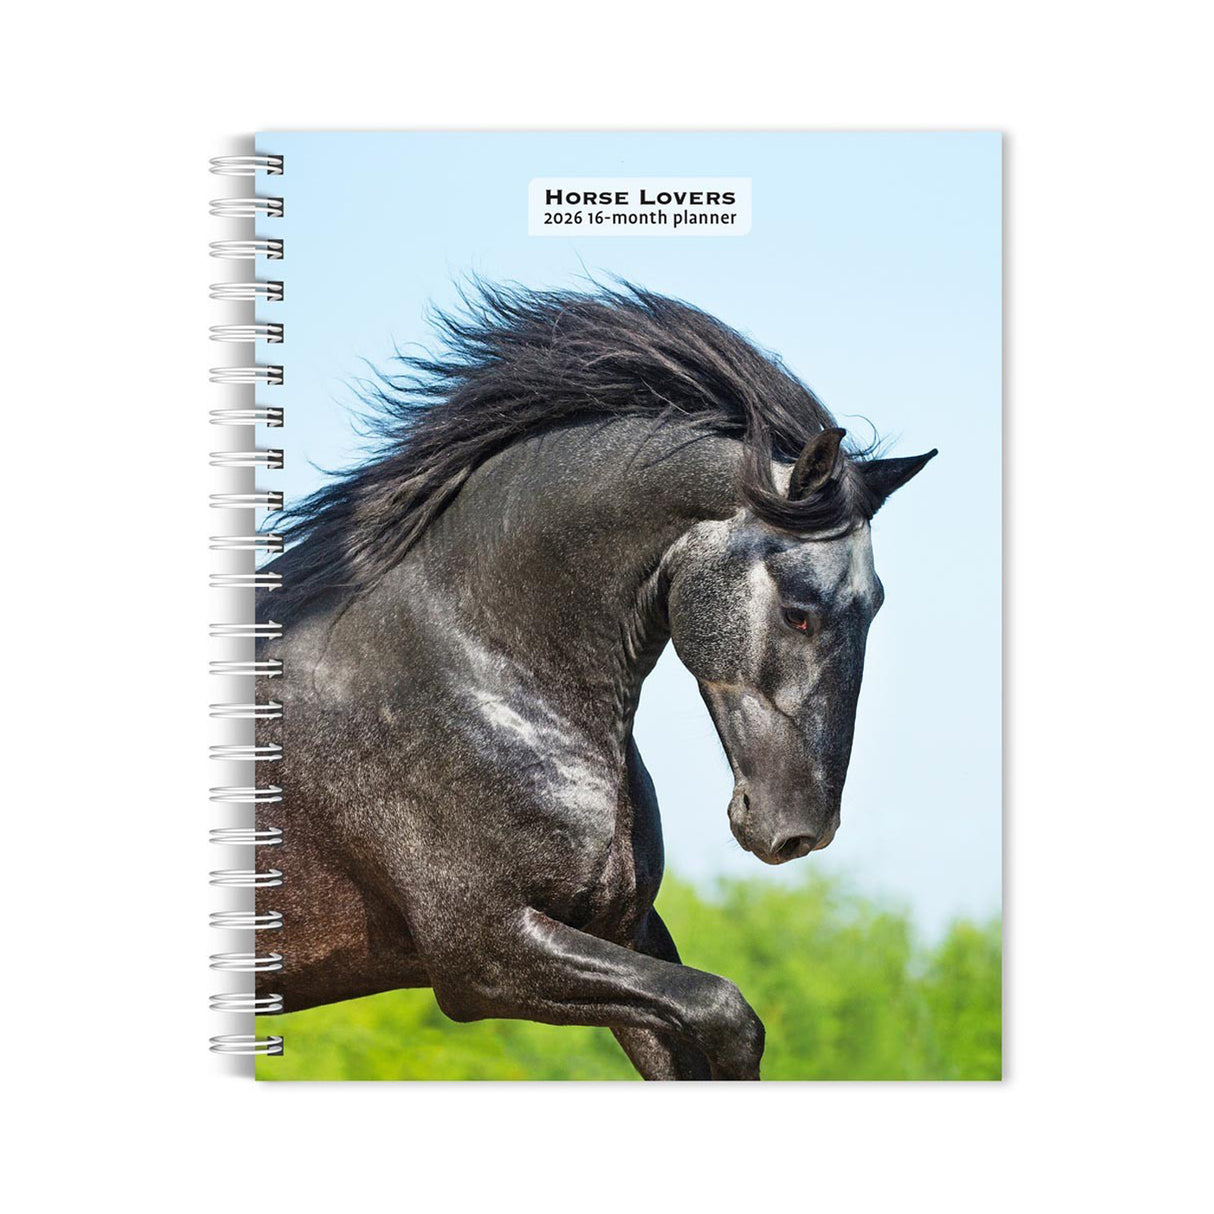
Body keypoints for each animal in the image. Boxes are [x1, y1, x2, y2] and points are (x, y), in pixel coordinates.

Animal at [256, 282, 935, 1080]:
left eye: (876, 604)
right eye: (800, 611)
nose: (800, 831)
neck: (481, 667)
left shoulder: (621, 931)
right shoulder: (483, 954)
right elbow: (728, 1016)